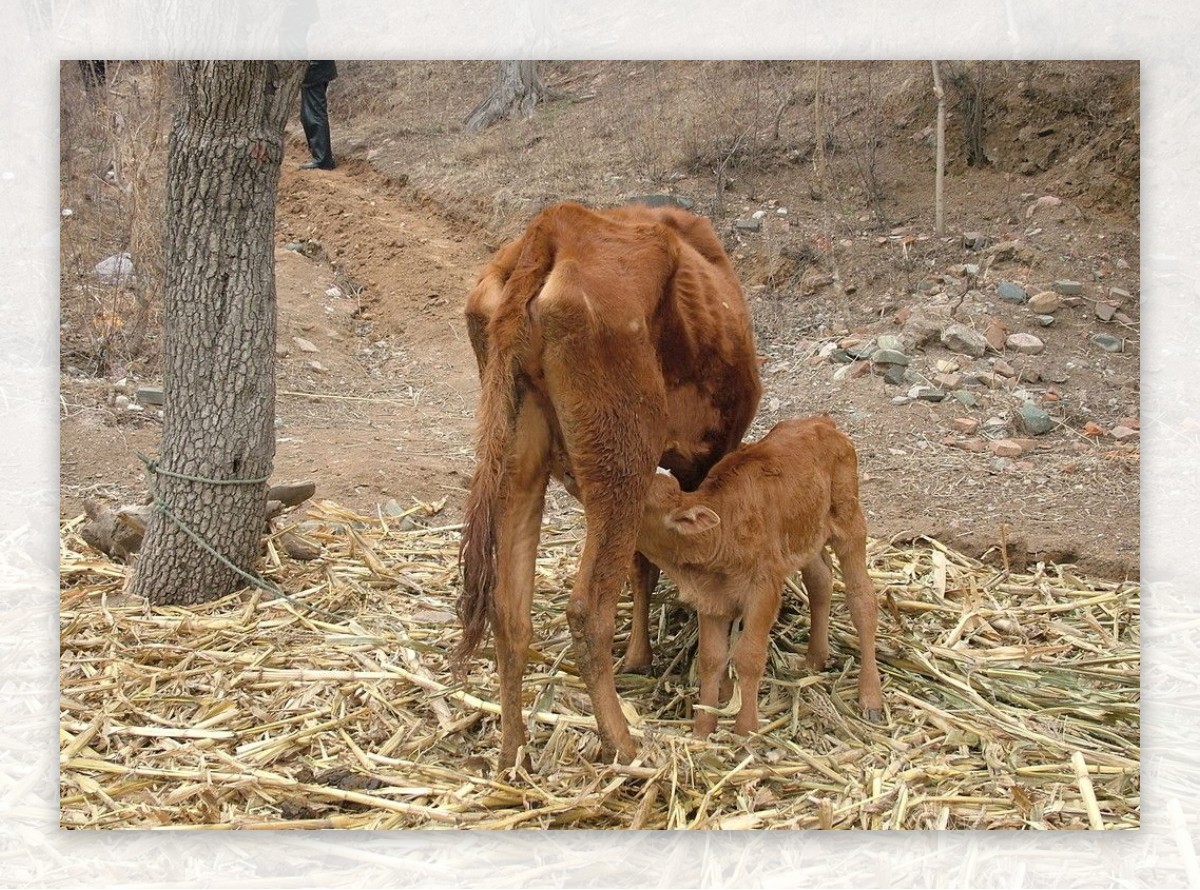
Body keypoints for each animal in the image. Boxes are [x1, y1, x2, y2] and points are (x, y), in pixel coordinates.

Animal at [453, 200, 763, 767]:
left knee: (511, 613)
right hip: (621, 460)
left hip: (521, 460)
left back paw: (513, 754)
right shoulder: (704, 457)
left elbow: (644, 561)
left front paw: (639, 655)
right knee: (587, 611)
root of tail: (556, 225)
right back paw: (622, 743)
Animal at [638, 417, 883, 738]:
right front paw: (703, 729)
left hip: (848, 520)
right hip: (806, 534)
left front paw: (746, 729)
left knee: (862, 600)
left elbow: (749, 656)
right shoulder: (711, 598)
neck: (721, 533)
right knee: (820, 581)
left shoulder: (764, 590)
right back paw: (814, 658)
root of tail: (821, 421)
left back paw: (871, 696)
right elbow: (710, 658)